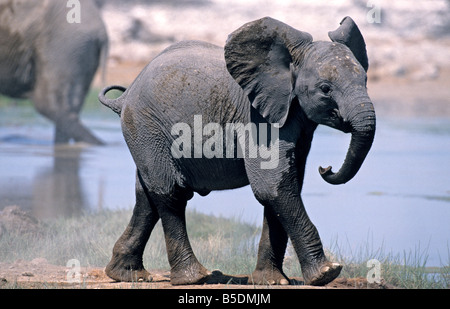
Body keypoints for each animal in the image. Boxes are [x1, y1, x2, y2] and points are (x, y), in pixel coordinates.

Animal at [99, 16, 376, 286]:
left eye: (365, 81)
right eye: (325, 89)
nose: (325, 168)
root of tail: (125, 96)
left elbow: (284, 186)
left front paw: (271, 281)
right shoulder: (256, 119)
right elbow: (271, 186)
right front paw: (326, 274)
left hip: (145, 133)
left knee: (146, 196)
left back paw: (129, 275)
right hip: (146, 125)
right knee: (171, 192)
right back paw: (194, 278)